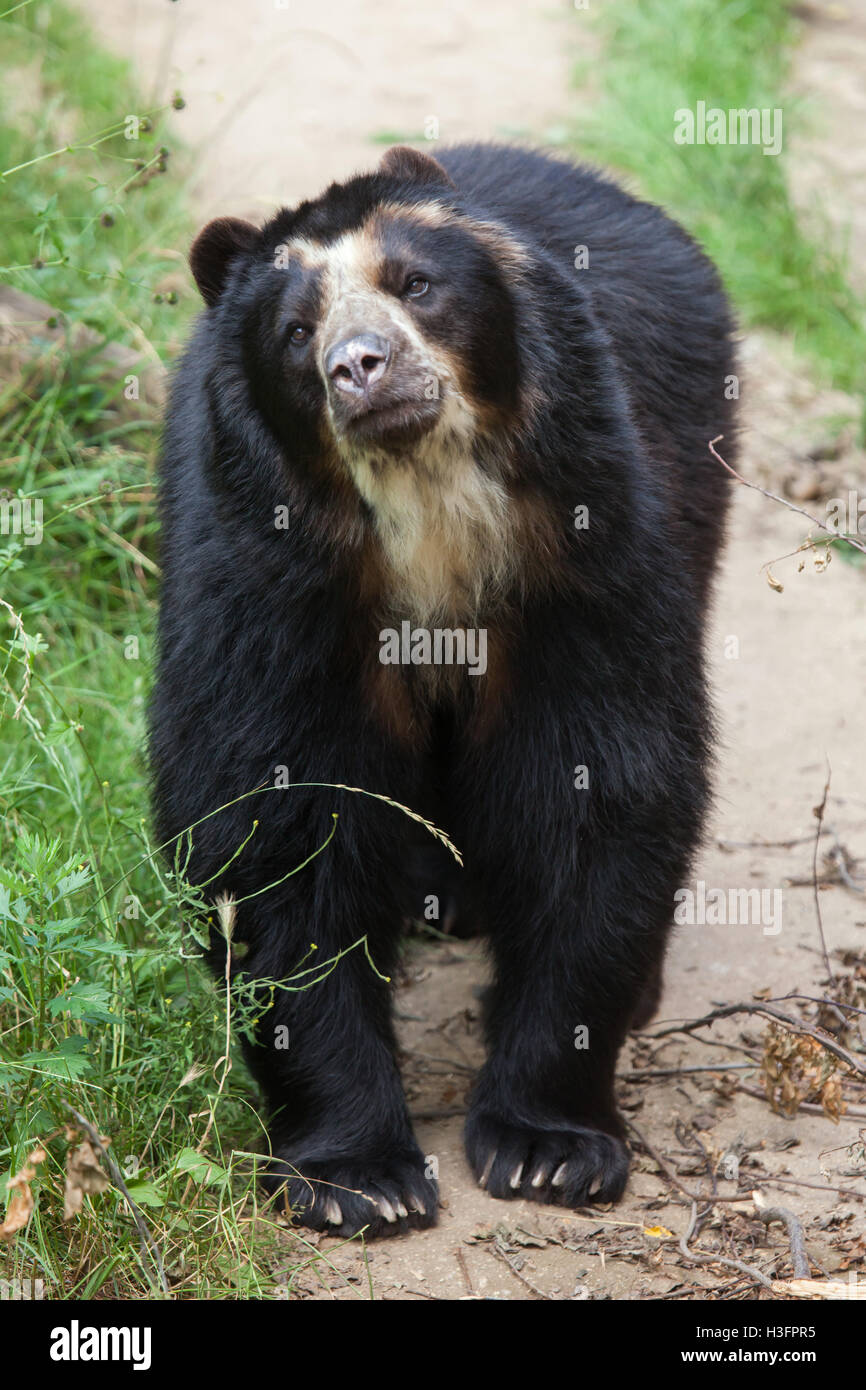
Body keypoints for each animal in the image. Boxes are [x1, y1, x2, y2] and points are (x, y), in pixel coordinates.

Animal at [150, 143, 739, 1239]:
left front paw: (548, 1146)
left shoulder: (583, 544)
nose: (359, 367)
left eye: (414, 284)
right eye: (295, 332)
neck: (427, 514)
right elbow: (277, 818)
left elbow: (598, 785)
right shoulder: (270, 587)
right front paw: (357, 1174)